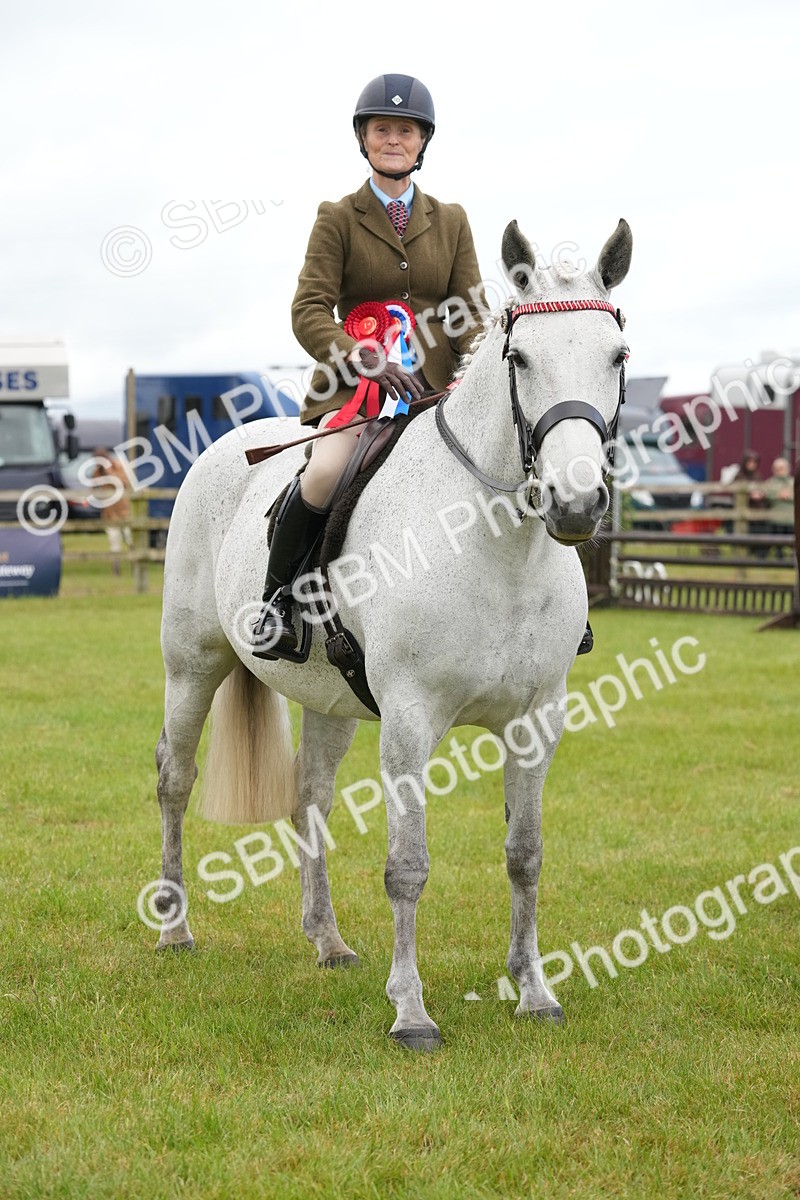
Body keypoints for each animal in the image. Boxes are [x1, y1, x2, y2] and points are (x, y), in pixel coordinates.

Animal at [152, 217, 633, 1051]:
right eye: (520, 357)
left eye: (617, 356)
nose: (574, 504)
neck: (497, 543)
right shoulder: (410, 721)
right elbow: (407, 866)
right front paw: (411, 1011)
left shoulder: (536, 721)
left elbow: (526, 855)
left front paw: (533, 991)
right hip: (193, 667)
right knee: (174, 780)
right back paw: (176, 929)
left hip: (331, 701)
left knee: (308, 798)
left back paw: (328, 941)